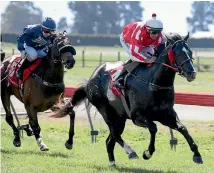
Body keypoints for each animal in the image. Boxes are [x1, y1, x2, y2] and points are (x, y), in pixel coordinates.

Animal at [54, 32, 202, 165]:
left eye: (190, 52)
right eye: (178, 53)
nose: (192, 73)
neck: (153, 84)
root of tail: (90, 80)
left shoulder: (167, 115)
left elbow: (182, 128)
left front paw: (197, 155)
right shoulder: (137, 116)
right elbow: (153, 128)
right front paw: (147, 153)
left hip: (120, 118)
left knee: (110, 140)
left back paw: (112, 162)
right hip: (106, 111)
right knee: (115, 134)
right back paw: (130, 152)